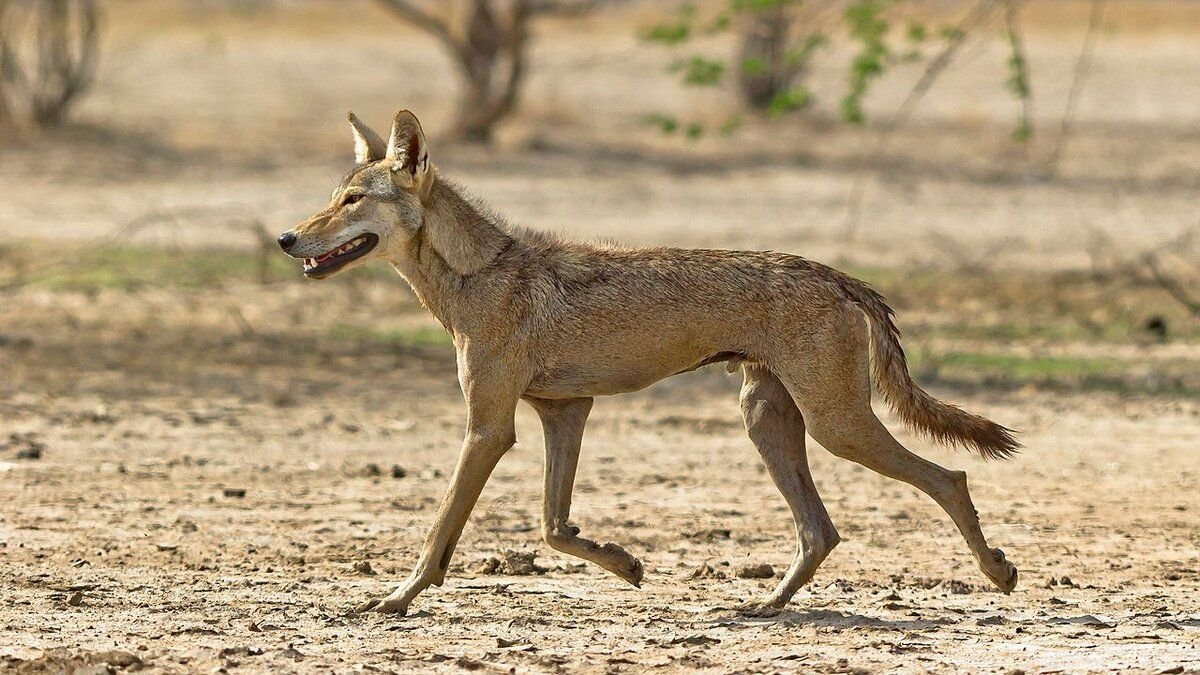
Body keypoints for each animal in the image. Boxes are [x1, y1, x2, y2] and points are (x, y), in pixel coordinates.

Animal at [278, 106, 1022, 614]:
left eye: (352, 200)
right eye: (333, 196)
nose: (286, 237)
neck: (476, 274)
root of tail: (836, 274)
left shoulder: (489, 428)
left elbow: (440, 531)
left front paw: (396, 599)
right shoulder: (565, 412)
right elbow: (553, 527)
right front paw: (627, 563)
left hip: (837, 426)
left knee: (948, 477)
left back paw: (998, 572)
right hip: (768, 421)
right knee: (822, 530)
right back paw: (766, 606)